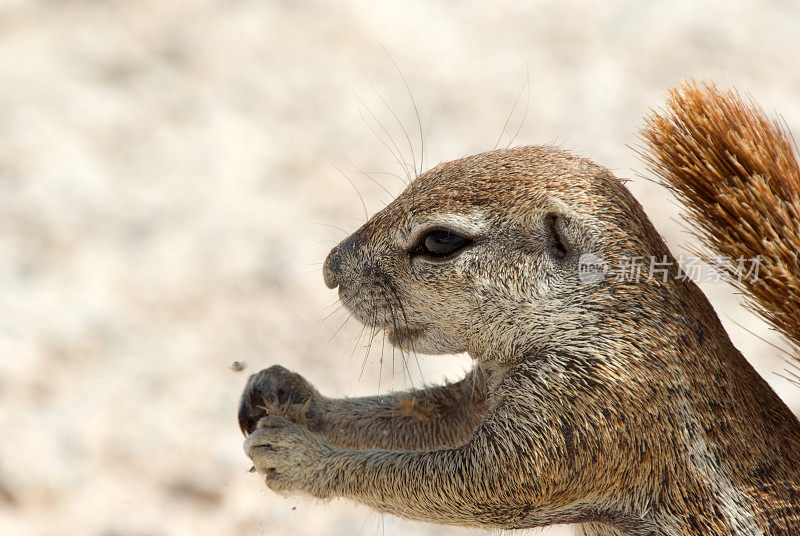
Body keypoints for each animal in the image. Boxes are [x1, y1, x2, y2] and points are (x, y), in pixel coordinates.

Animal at [238, 81, 800, 532]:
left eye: (440, 241)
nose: (330, 270)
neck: (600, 318)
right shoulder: (486, 394)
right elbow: (422, 414)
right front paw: (285, 391)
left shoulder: (587, 411)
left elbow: (461, 482)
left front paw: (299, 456)